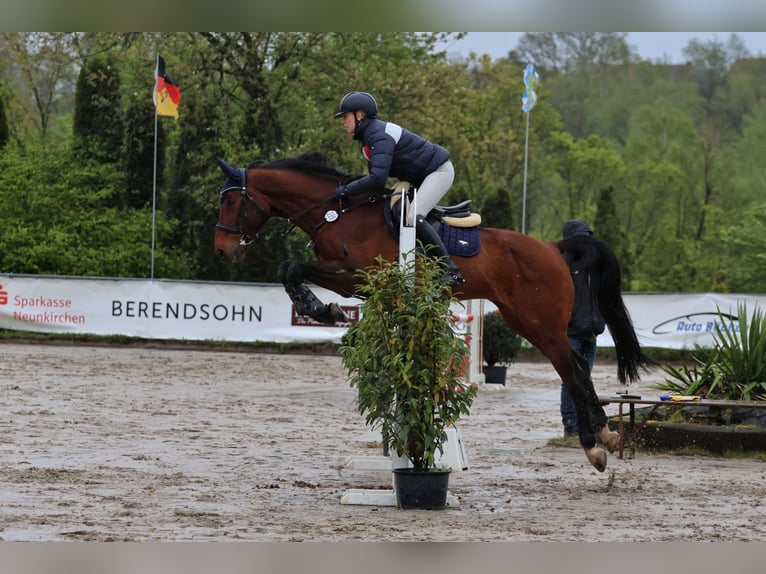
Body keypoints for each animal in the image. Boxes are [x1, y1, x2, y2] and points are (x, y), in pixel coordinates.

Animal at [216, 152, 656, 472]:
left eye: (232, 201)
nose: (222, 252)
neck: (337, 213)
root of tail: (552, 247)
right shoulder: (350, 279)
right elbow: (288, 269)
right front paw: (321, 308)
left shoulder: (356, 275)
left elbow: (292, 267)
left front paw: (320, 308)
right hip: (525, 321)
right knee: (577, 370)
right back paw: (605, 436)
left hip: (542, 325)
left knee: (574, 374)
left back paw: (596, 446)